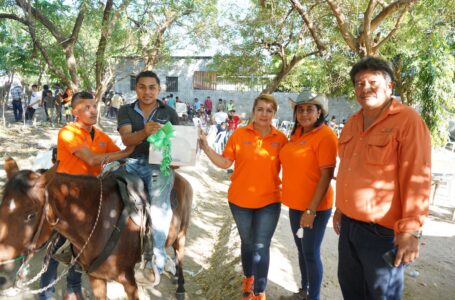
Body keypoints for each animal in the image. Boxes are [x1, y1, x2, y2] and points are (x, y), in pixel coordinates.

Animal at [0, 158, 192, 298]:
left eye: (31, 215)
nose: (2, 277)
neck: (100, 222)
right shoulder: (96, 278)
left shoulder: (129, 282)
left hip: (181, 235)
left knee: (179, 257)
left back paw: (181, 286)